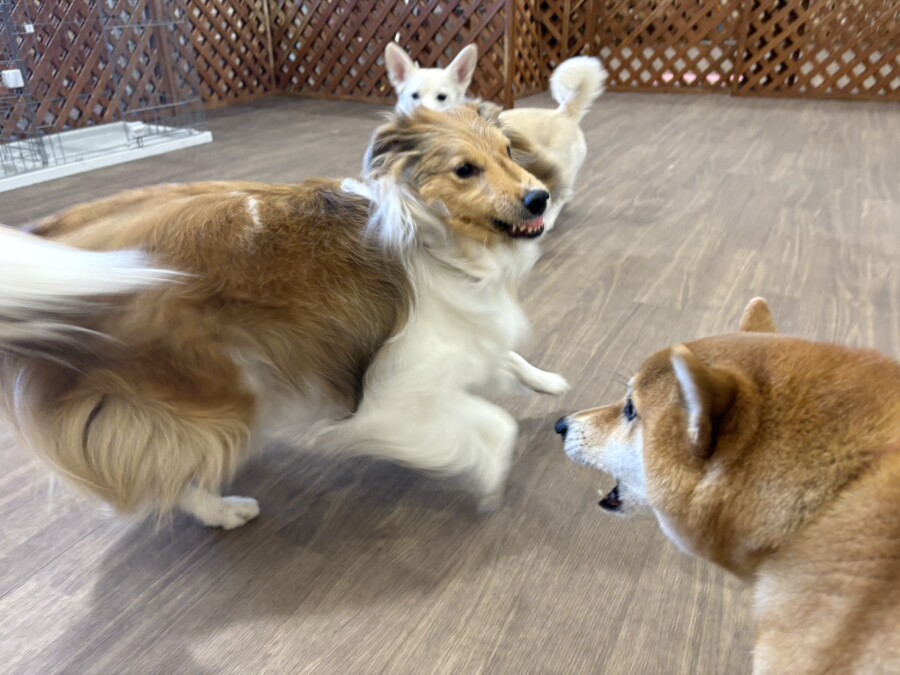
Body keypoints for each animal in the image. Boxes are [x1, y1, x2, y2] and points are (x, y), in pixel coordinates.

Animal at [0, 104, 568, 530]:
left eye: (508, 152)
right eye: (464, 169)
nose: (539, 198)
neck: (432, 236)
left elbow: (507, 359)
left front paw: (547, 380)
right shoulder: (393, 399)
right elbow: (496, 428)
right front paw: (490, 481)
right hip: (215, 388)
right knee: (173, 473)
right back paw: (224, 511)